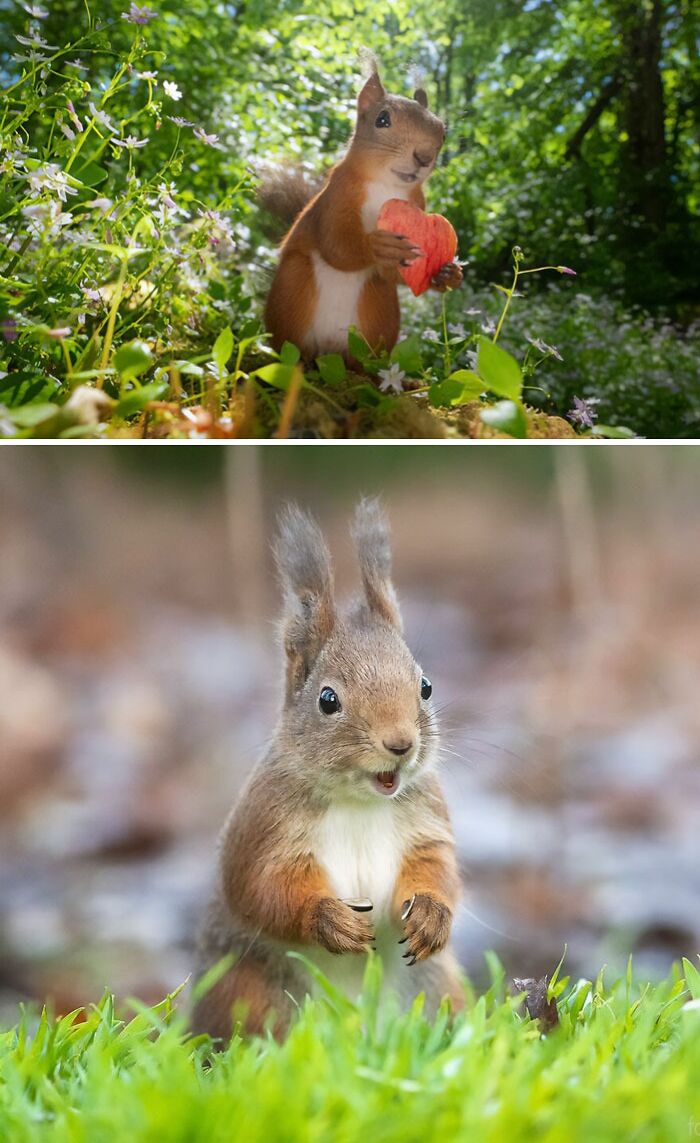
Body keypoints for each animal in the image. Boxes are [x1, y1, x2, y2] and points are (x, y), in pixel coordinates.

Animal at [191, 499, 463, 1041]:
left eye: (425, 687)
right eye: (328, 700)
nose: (400, 744)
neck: (361, 801)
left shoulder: (426, 820)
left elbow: (438, 867)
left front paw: (430, 916)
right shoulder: (265, 824)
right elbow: (260, 888)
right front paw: (329, 921)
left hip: (435, 986)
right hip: (250, 993)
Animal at [262, 67, 463, 362]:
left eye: (441, 131)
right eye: (382, 120)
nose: (424, 156)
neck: (385, 185)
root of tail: (328, 351)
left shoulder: (418, 203)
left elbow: (396, 273)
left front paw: (448, 275)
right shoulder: (337, 194)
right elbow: (336, 245)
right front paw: (378, 245)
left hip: (380, 308)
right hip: (292, 288)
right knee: (291, 350)